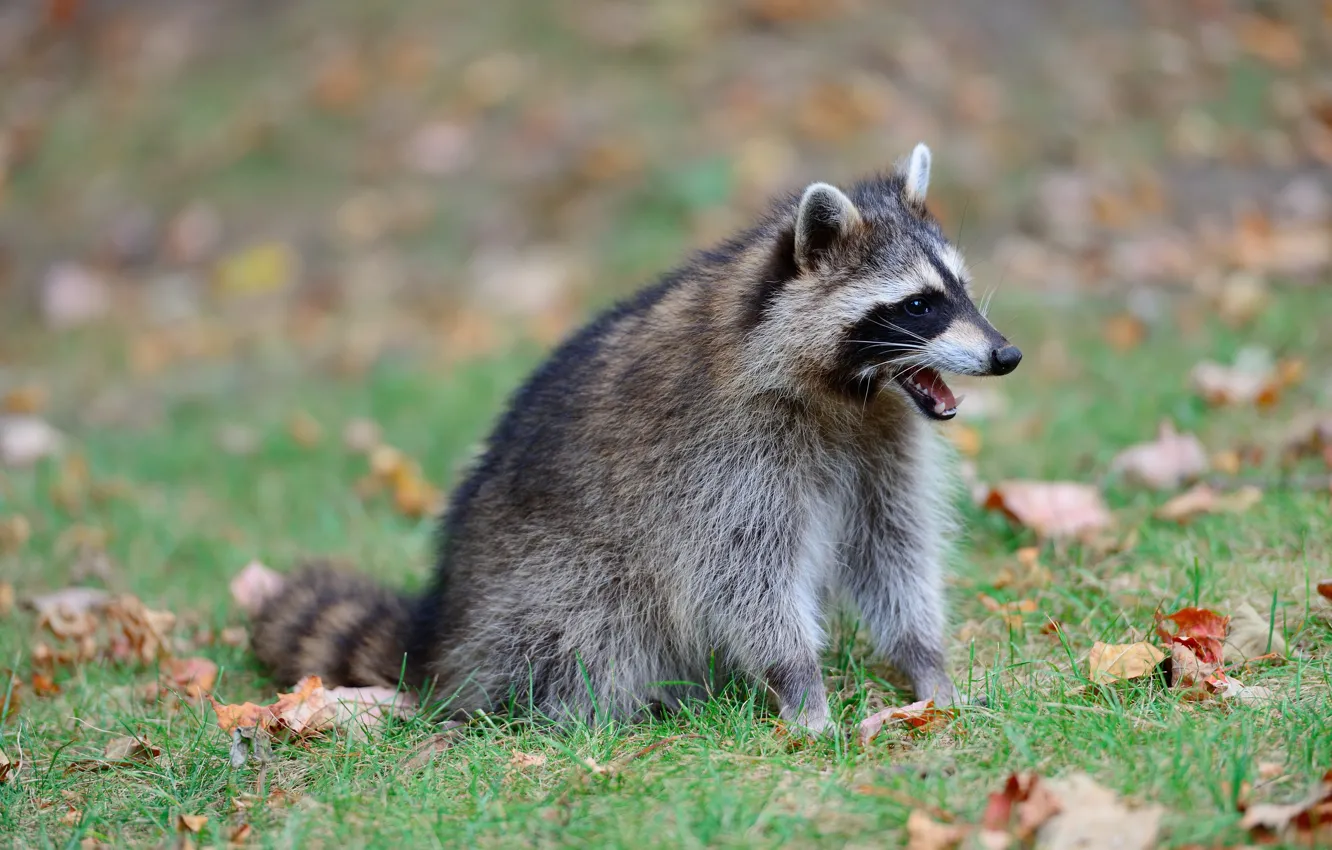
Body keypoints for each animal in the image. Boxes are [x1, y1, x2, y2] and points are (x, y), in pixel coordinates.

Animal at [250, 143, 1021, 733]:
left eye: (961, 289)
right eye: (919, 305)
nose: (1007, 354)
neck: (848, 394)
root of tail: (444, 636)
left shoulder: (878, 439)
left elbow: (890, 544)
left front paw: (925, 662)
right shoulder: (728, 454)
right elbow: (744, 574)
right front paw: (800, 684)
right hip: (544, 579)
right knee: (593, 624)